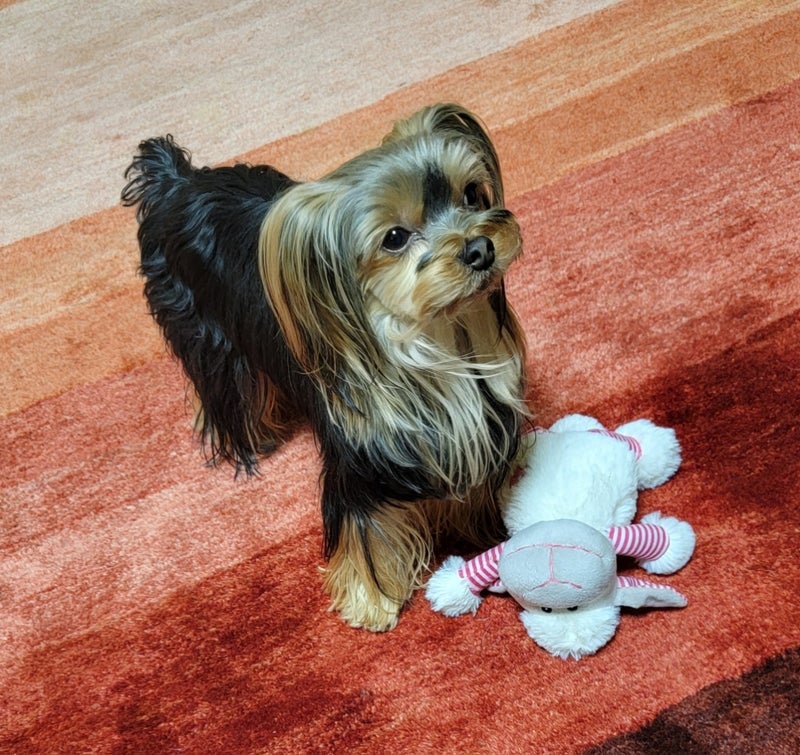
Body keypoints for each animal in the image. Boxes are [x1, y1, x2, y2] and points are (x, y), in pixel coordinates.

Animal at [122, 104, 528, 631]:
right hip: (203, 330)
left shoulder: (477, 426)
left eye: (473, 194)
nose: (480, 250)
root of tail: (176, 181)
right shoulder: (357, 464)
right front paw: (370, 603)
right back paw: (253, 433)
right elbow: (365, 531)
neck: (434, 337)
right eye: (394, 238)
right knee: (226, 386)